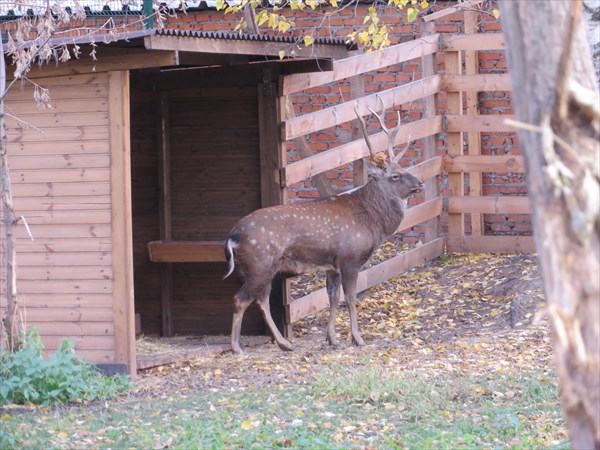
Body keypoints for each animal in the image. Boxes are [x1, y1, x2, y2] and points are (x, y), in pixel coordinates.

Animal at [223, 100, 424, 354]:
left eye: (404, 169)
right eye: (396, 176)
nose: (420, 183)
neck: (370, 219)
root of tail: (233, 236)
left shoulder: (332, 265)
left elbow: (333, 297)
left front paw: (332, 338)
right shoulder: (350, 258)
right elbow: (351, 298)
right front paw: (357, 338)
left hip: (260, 268)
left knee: (262, 300)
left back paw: (284, 343)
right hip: (259, 264)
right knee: (241, 299)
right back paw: (237, 348)